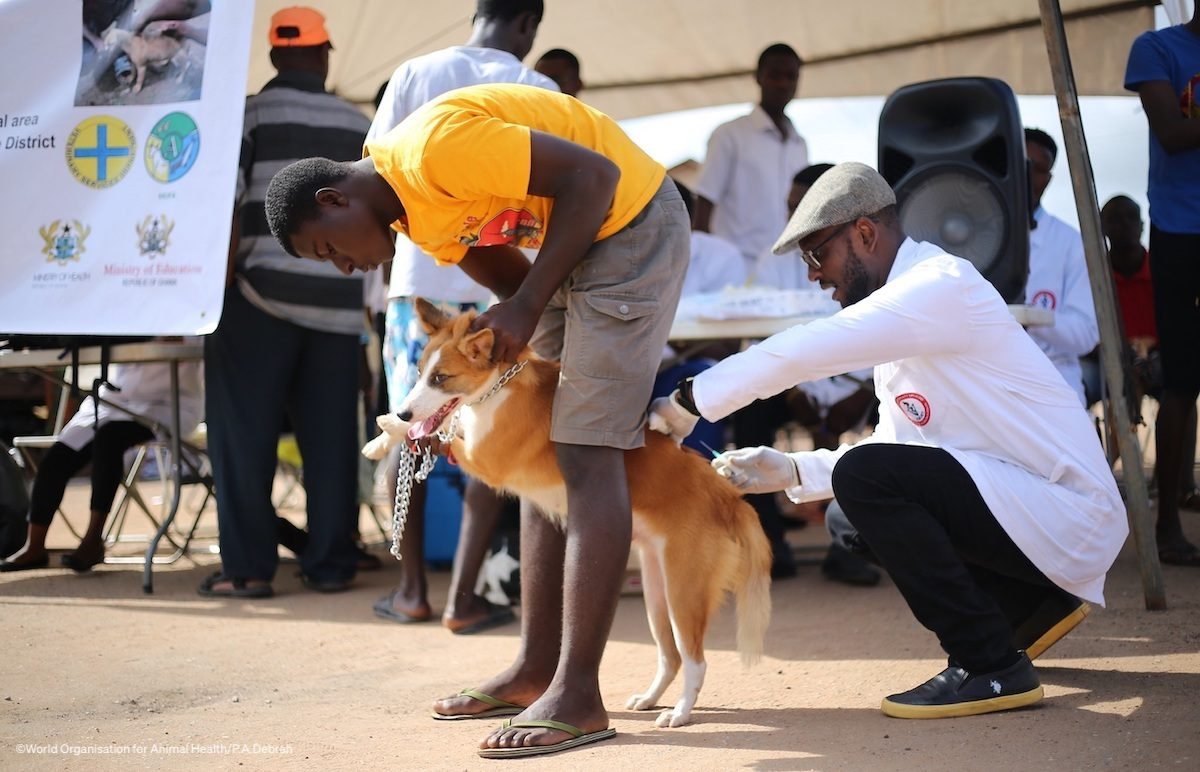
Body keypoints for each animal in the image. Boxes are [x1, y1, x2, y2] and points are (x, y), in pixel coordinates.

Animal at [364, 298, 772, 729]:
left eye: (441, 378)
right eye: (420, 373)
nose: (405, 411)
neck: (499, 386)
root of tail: (728, 497)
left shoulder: (485, 459)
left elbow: (436, 436)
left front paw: (390, 426)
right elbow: (428, 433)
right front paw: (380, 440)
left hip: (684, 592)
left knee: (696, 661)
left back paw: (679, 713)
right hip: (657, 590)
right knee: (671, 656)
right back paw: (649, 699)